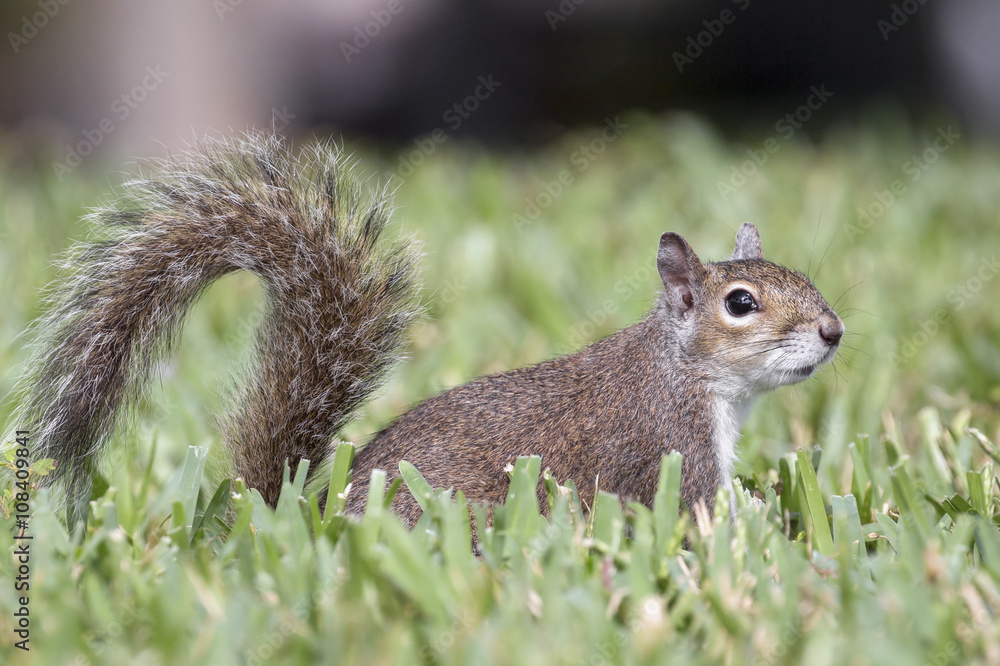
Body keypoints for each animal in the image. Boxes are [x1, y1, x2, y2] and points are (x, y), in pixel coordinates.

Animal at [5, 131, 843, 527]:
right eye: (741, 303)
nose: (833, 332)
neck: (685, 372)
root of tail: (301, 519)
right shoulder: (667, 449)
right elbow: (697, 520)